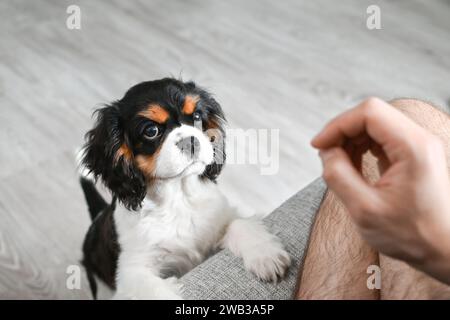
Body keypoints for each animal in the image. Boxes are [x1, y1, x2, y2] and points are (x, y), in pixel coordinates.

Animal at [78, 79, 290, 298]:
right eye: (151, 131)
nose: (190, 140)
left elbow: (239, 223)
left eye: (196, 116)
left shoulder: (221, 218)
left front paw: (265, 255)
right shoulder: (131, 271)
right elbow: (153, 289)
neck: (179, 195)